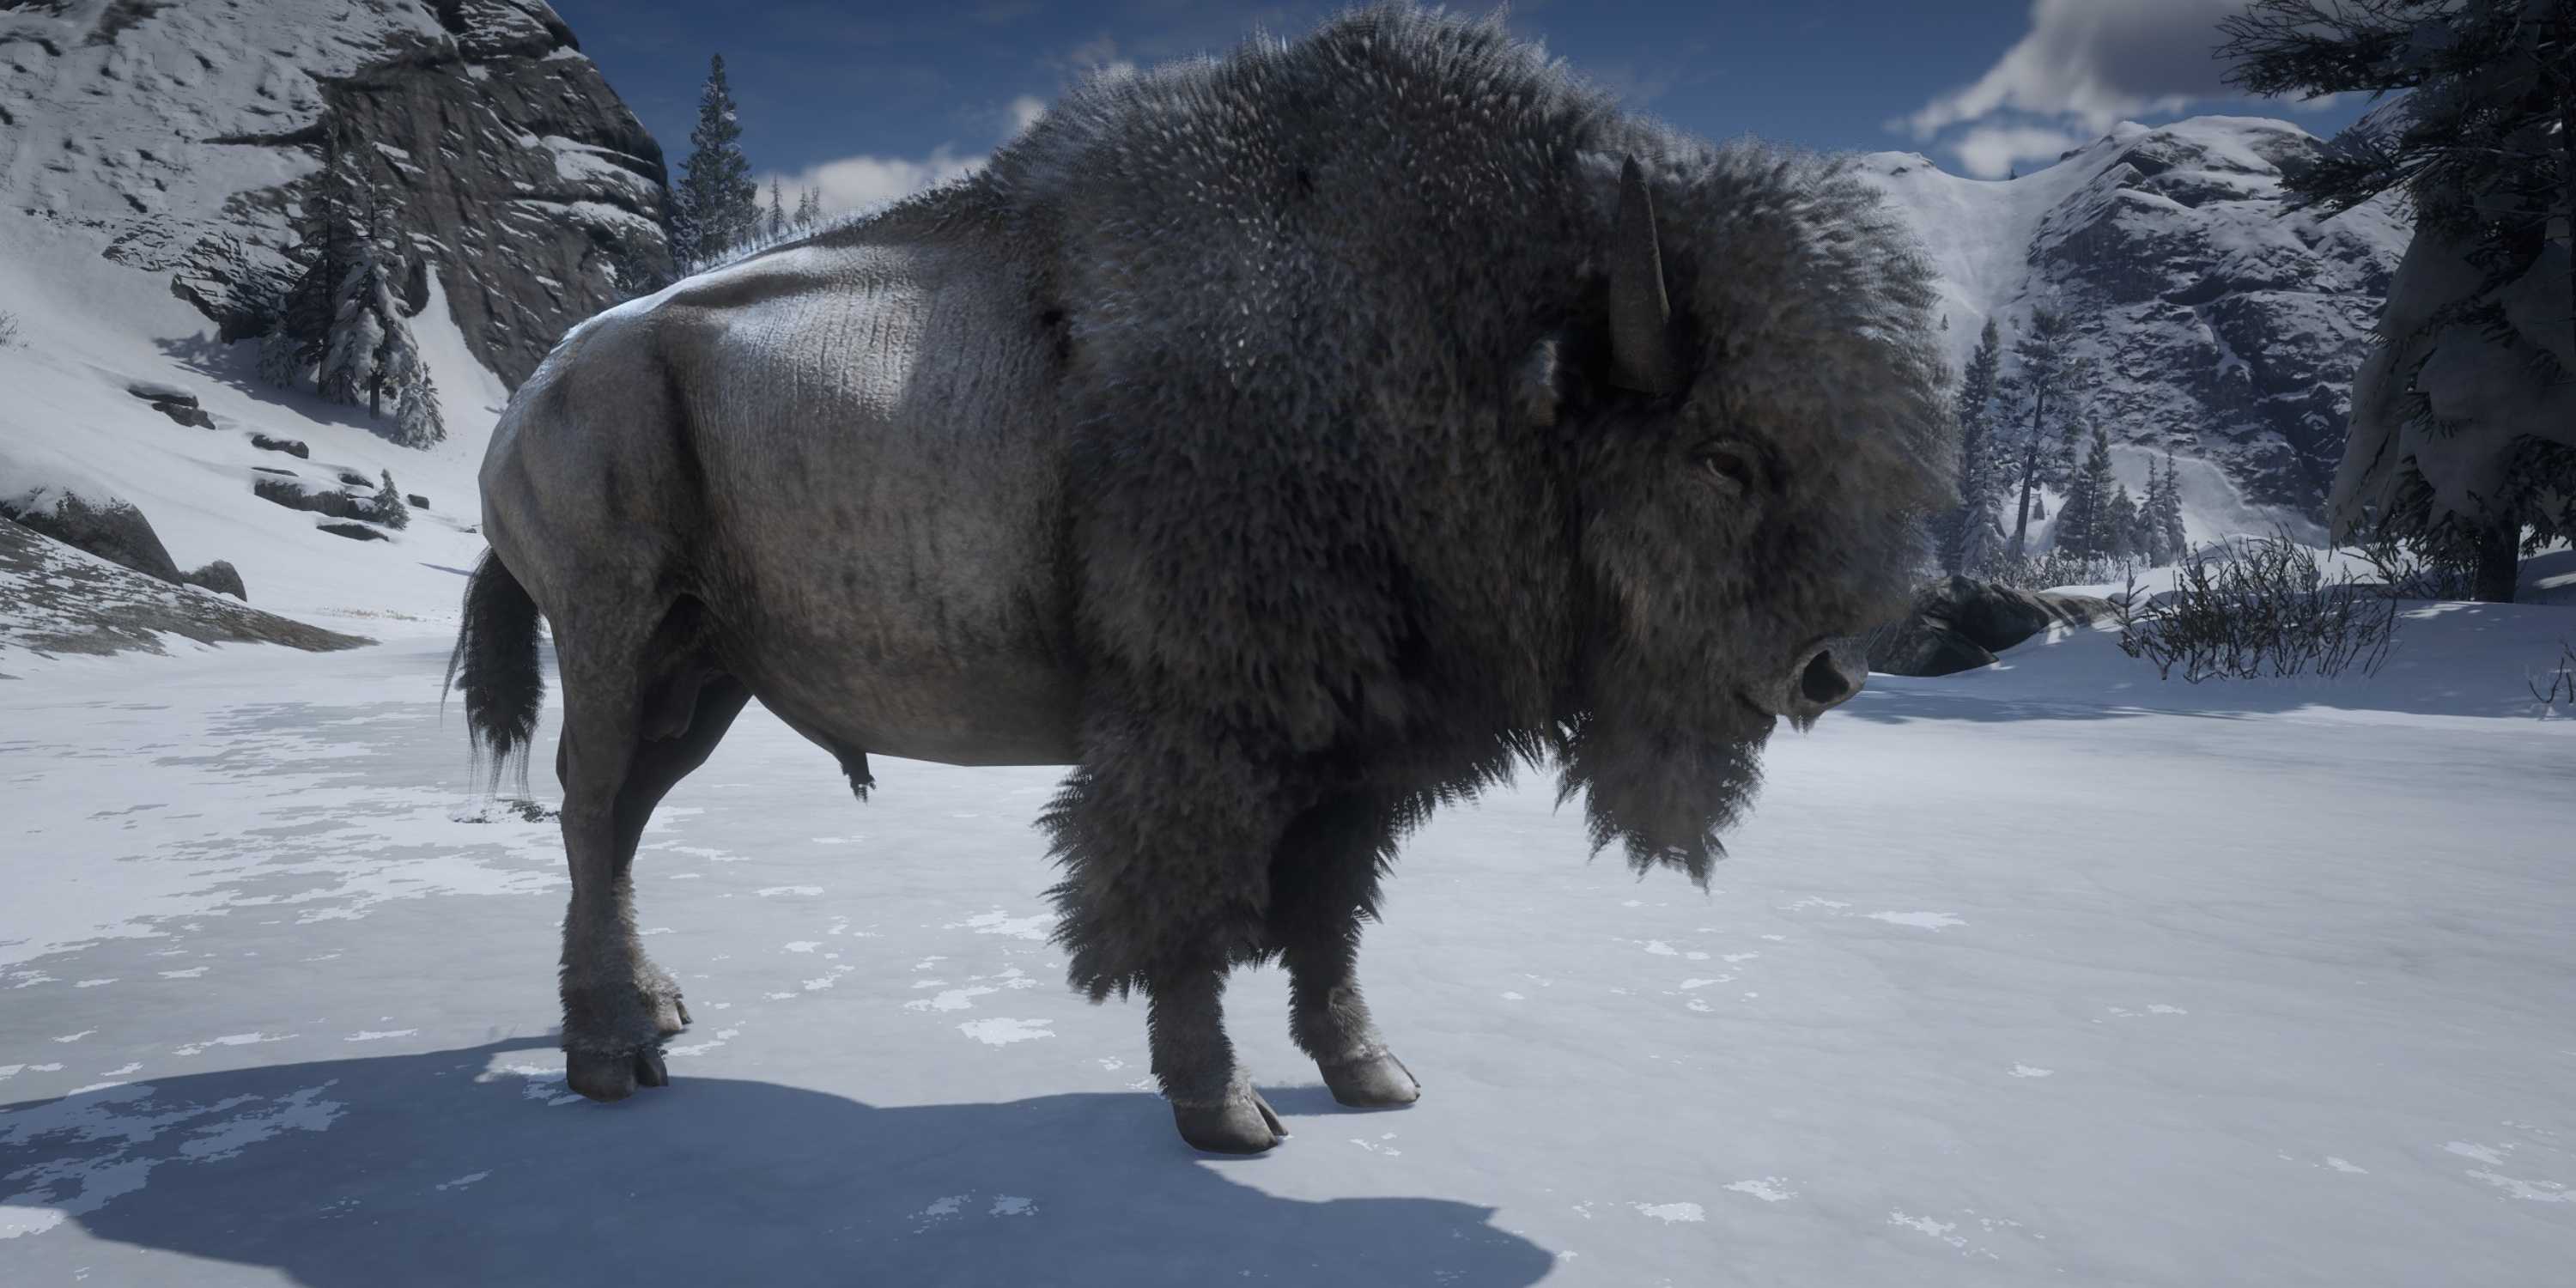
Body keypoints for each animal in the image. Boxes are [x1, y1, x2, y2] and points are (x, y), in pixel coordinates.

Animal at [451, 4, 1951, 1153]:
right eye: (1724, 456)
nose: (1832, 668)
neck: (1468, 340)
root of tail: (536, 393)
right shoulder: (1203, 735)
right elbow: (1191, 914)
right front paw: (1226, 1111)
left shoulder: (1359, 757)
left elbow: (1326, 920)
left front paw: (1373, 1077)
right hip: (617, 636)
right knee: (590, 807)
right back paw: (609, 1058)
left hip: (709, 676)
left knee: (623, 823)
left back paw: (651, 1011)